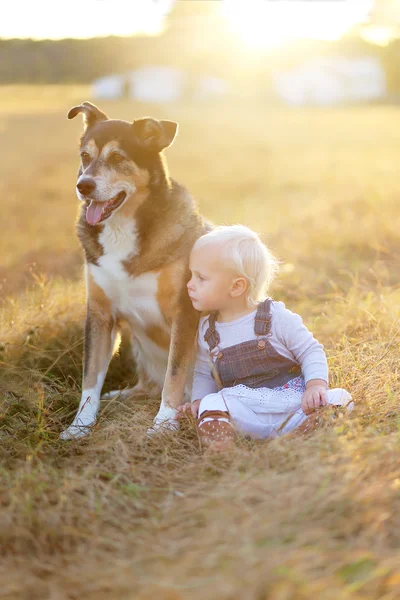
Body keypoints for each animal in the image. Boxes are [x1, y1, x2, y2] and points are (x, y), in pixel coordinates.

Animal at [60, 102, 209, 440]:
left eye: (118, 158)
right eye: (85, 156)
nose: (83, 186)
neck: (122, 229)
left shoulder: (185, 312)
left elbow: (174, 375)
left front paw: (163, 424)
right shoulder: (100, 315)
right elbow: (90, 378)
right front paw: (79, 426)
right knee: (147, 385)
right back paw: (122, 395)